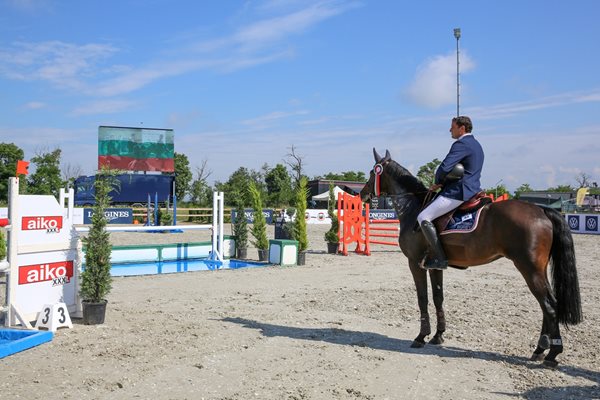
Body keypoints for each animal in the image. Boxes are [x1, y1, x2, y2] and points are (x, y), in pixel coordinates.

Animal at [360, 148, 580, 368]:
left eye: (372, 172)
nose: (362, 194)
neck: (413, 208)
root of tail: (541, 209)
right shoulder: (435, 266)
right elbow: (438, 297)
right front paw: (438, 335)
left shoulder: (415, 264)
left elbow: (422, 298)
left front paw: (421, 337)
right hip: (539, 270)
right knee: (548, 304)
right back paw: (540, 350)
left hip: (530, 269)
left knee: (549, 306)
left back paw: (552, 353)